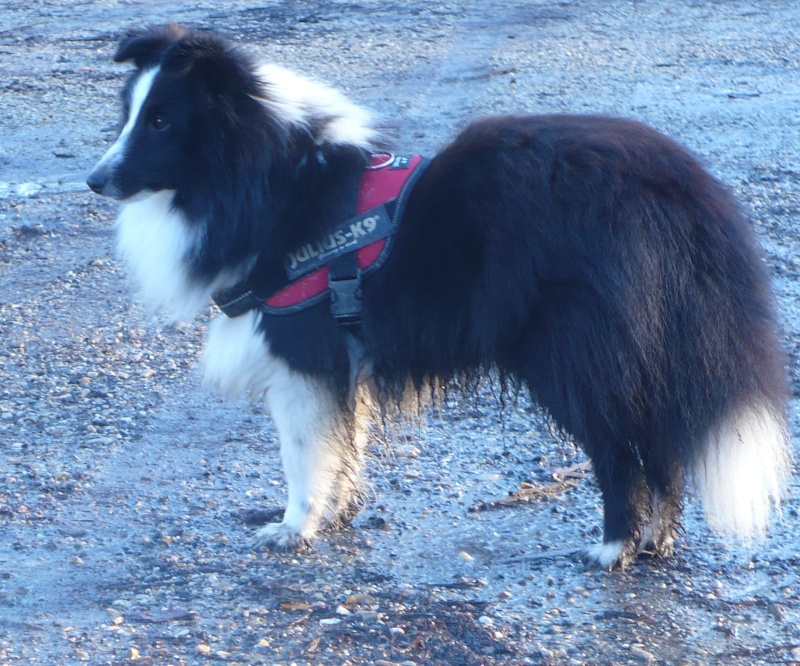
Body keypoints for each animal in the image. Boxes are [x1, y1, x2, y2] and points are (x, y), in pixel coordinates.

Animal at [89, 24, 792, 564]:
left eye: (161, 121)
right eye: (127, 116)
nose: (95, 180)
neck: (269, 175)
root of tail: (677, 184)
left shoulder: (301, 357)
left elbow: (302, 455)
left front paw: (294, 527)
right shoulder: (346, 356)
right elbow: (345, 444)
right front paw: (339, 513)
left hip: (573, 353)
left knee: (622, 451)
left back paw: (613, 547)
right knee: (664, 447)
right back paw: (656, 543)